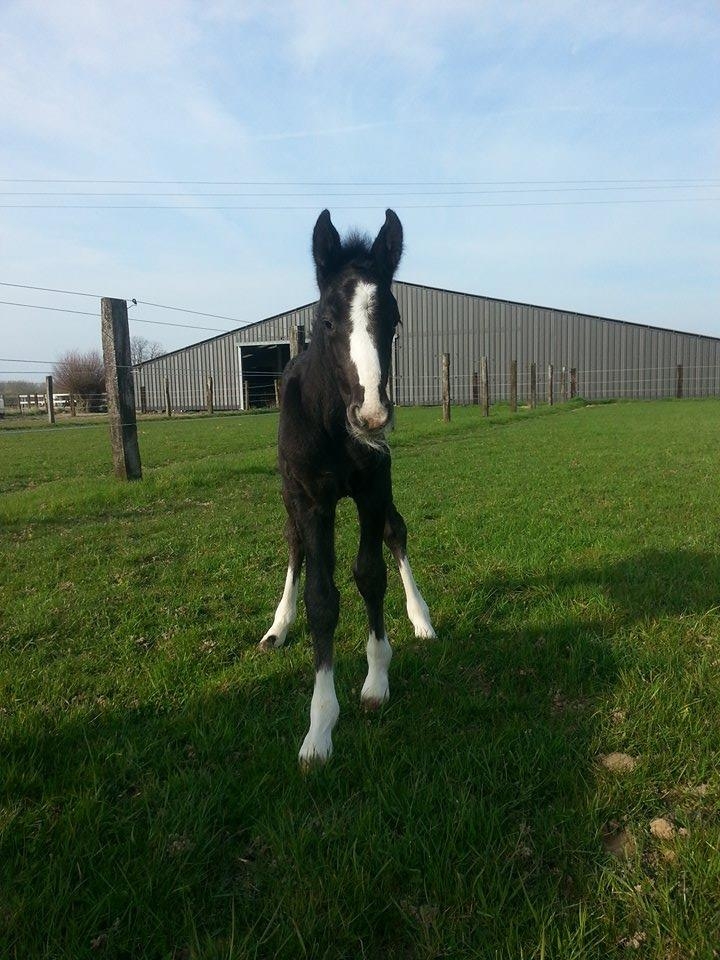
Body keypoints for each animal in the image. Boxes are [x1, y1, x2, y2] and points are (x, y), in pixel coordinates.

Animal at [260, 208, 435, 765]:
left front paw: (377, 679)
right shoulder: (311, 500)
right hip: (291, 499)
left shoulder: (372, 488)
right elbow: (322, 597)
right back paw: (277, 626)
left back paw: (422, 618)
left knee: (396, 532)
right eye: (327, 321)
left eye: (393, 321)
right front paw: (319, 729)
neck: (333, 426)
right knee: (294, 546)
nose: (373, 416)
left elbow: (370, 573)